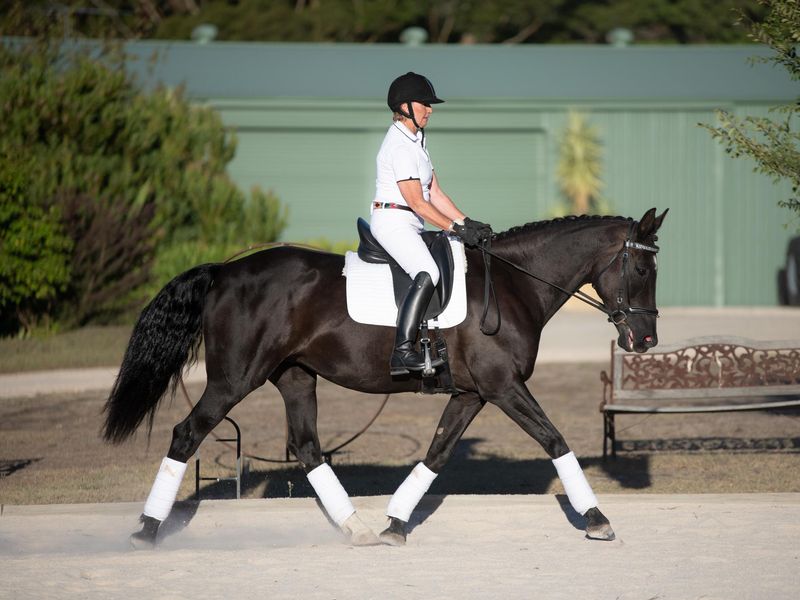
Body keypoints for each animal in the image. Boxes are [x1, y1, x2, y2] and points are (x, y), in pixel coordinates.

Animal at [103, 207, 667, 548]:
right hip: (234, 380)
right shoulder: (503, 387)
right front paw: (597, 520)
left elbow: (437, 454)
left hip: (295, 377)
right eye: (643, 272)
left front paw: (396, 523)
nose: (644, 341)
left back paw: (355, 527)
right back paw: (147, 531)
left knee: (307, 447)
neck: (513, 285)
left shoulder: (472, 394)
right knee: (187, 433)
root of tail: (224, 271)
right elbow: (555, 440)